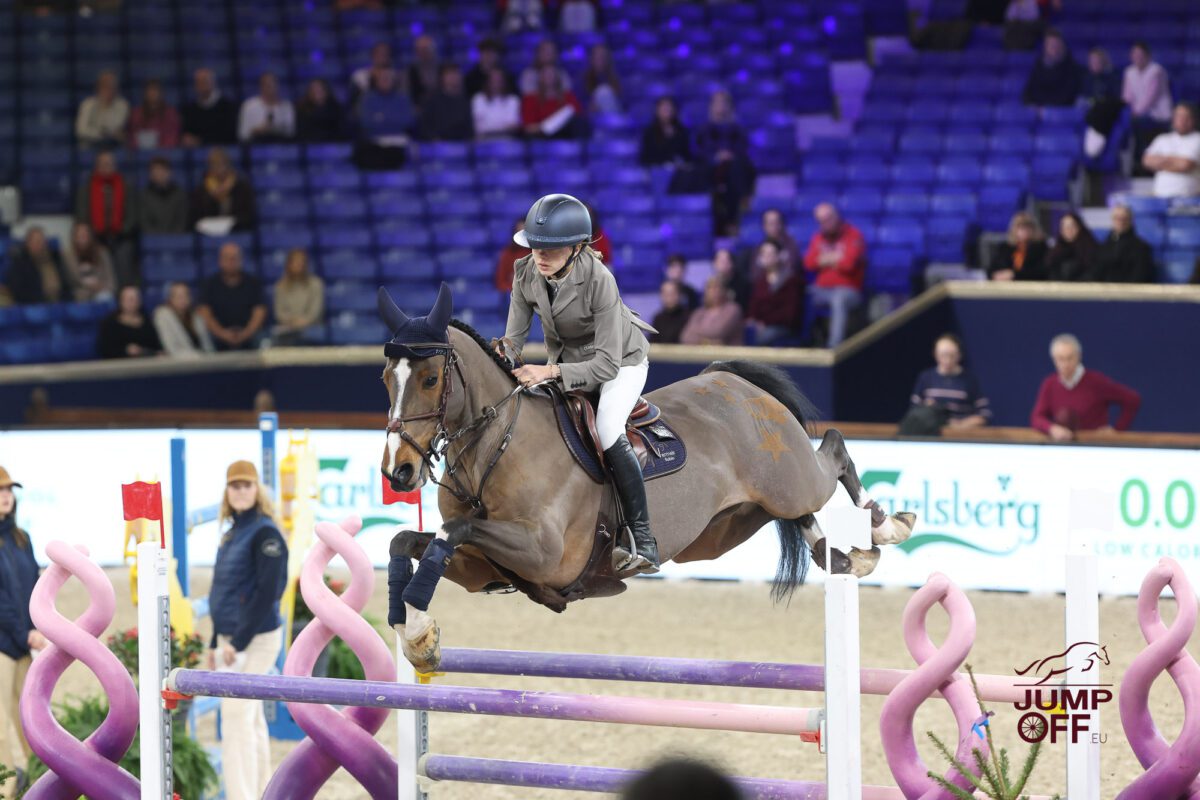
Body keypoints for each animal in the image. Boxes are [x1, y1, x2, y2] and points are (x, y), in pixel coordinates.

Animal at [379, 285, 915, 673]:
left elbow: (452, 530)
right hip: (728, 527)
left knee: (834, 451)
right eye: (386, 378)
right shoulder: (483, 569)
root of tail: (733, 379)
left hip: (789, 478)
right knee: (801, 516)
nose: (398, 471)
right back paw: (845, 557)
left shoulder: (546, 554)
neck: (496, 448)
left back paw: (888, 526)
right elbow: (409, 540)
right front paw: (416, 634)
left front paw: (418, 628)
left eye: (430, 378)